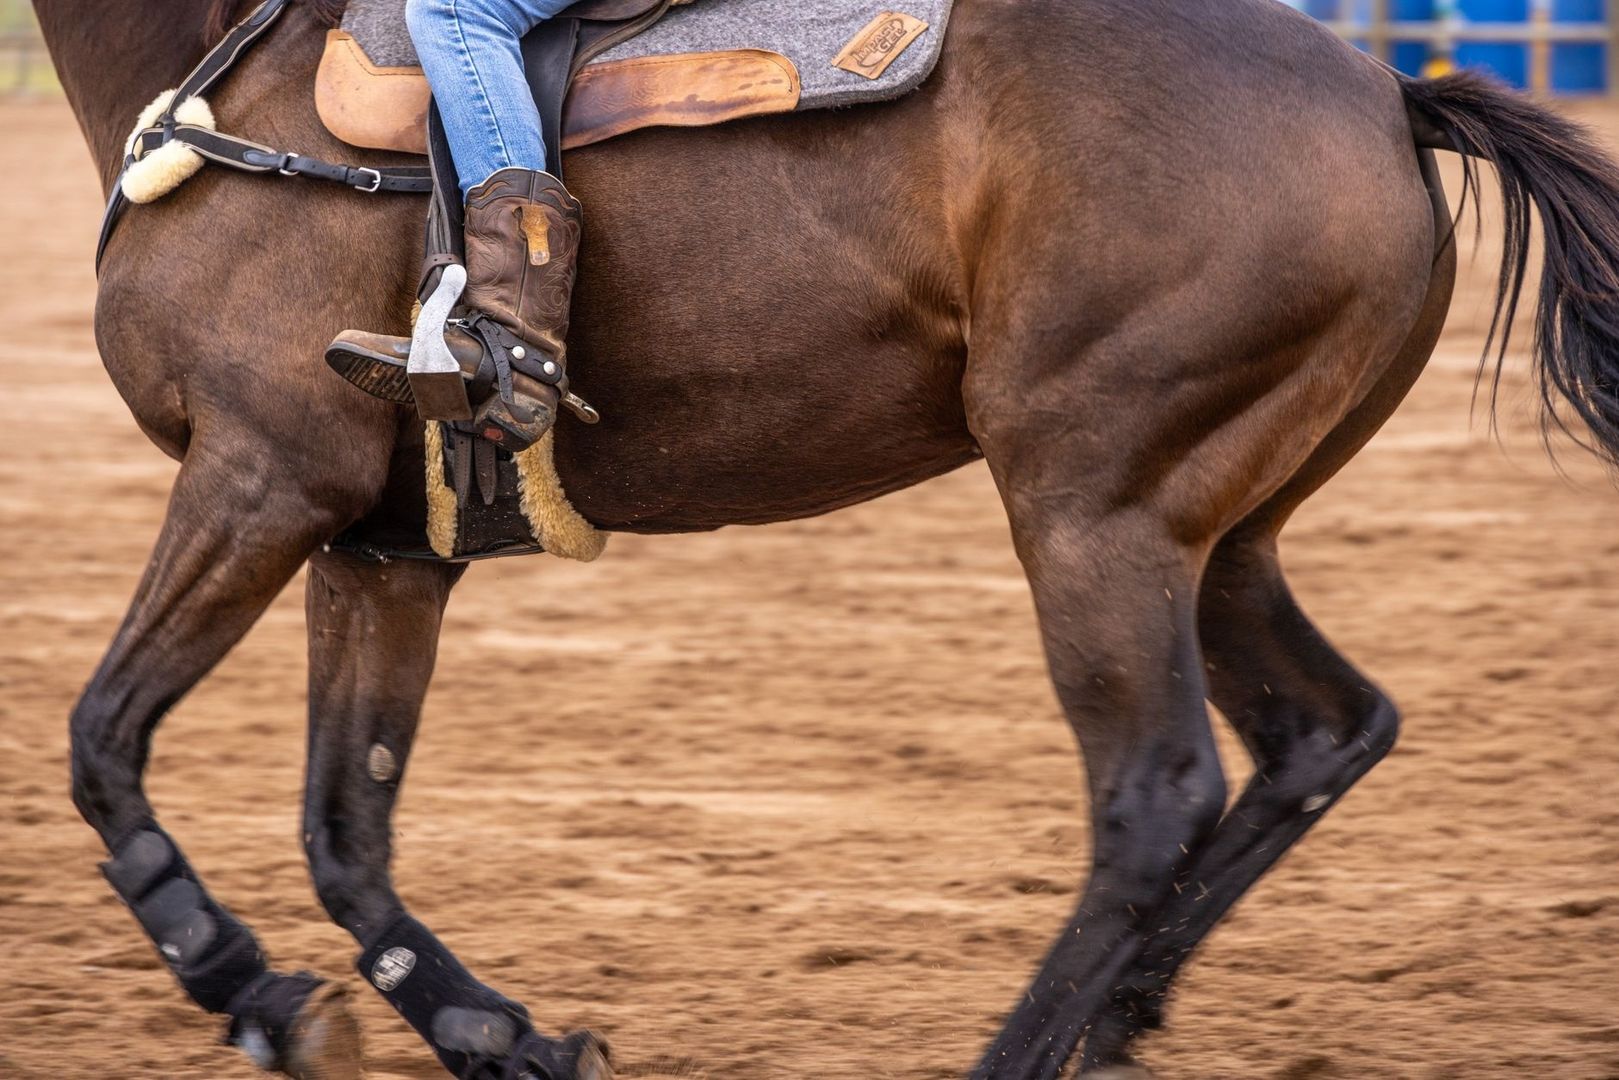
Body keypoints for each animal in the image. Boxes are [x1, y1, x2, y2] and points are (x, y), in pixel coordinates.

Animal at [33, 0, 1619, 1076]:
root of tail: (1383, 92)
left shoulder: (260, 476)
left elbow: (104, 742)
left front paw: (249, 988)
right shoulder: (377, 547)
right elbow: (344, 830)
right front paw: (498, 1034)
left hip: (1092, 510)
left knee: (1156, 795)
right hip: (1220, 533)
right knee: (1321, 732)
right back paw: (1117, 1019)